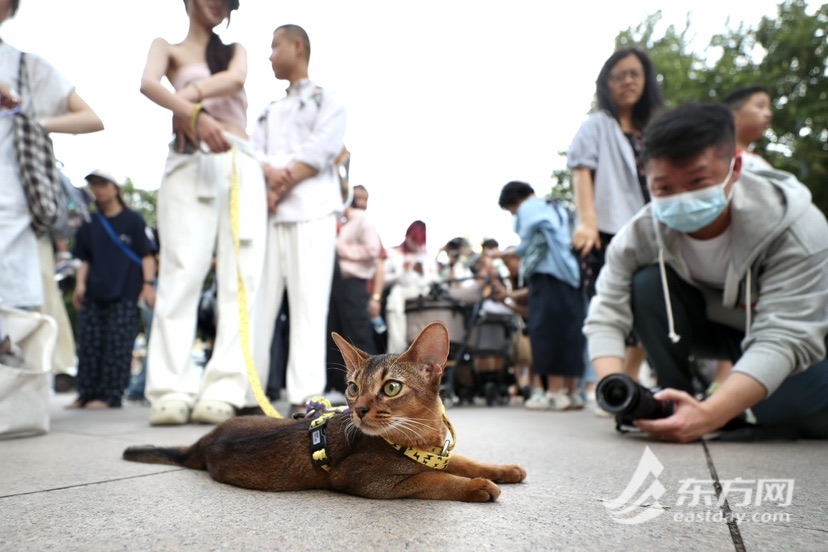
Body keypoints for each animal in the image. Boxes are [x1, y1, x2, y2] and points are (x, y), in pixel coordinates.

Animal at [123, 322, 524, 502]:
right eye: (353, 387)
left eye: (391, 388)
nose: (359, 410)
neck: (421, 438)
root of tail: (204, 441)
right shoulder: (368, 480)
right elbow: (432, 480)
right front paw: (477, 486)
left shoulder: (439, 454)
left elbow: (465, 461)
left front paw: (504, 469)